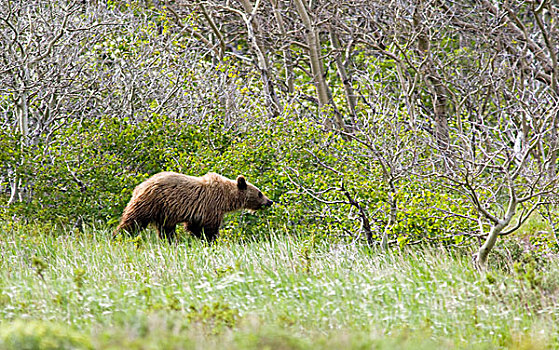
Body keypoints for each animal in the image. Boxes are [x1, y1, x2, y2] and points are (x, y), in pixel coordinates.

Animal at [114, 172, 274, 242]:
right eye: (260, 193)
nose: (270, 201)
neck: (226, 197)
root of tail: (139, 186)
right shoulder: (211, 206)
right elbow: (209, 228)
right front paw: (212, 240)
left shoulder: (197, 212)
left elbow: (194, 226)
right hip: (151, 203)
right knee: (133, 221)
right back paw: (118, 236)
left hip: (164, 212)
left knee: (165, 229)